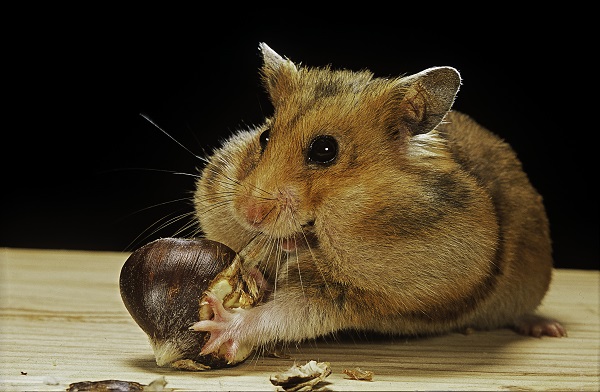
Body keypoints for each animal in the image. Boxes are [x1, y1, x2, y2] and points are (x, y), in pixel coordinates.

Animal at [190, 43, 564, 362]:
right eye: (265, 137)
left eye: (324, 150)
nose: (248, 213)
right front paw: (255, 274)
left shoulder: (357, 295)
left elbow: (282, 315)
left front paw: (215, 326)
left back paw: (548, 329)